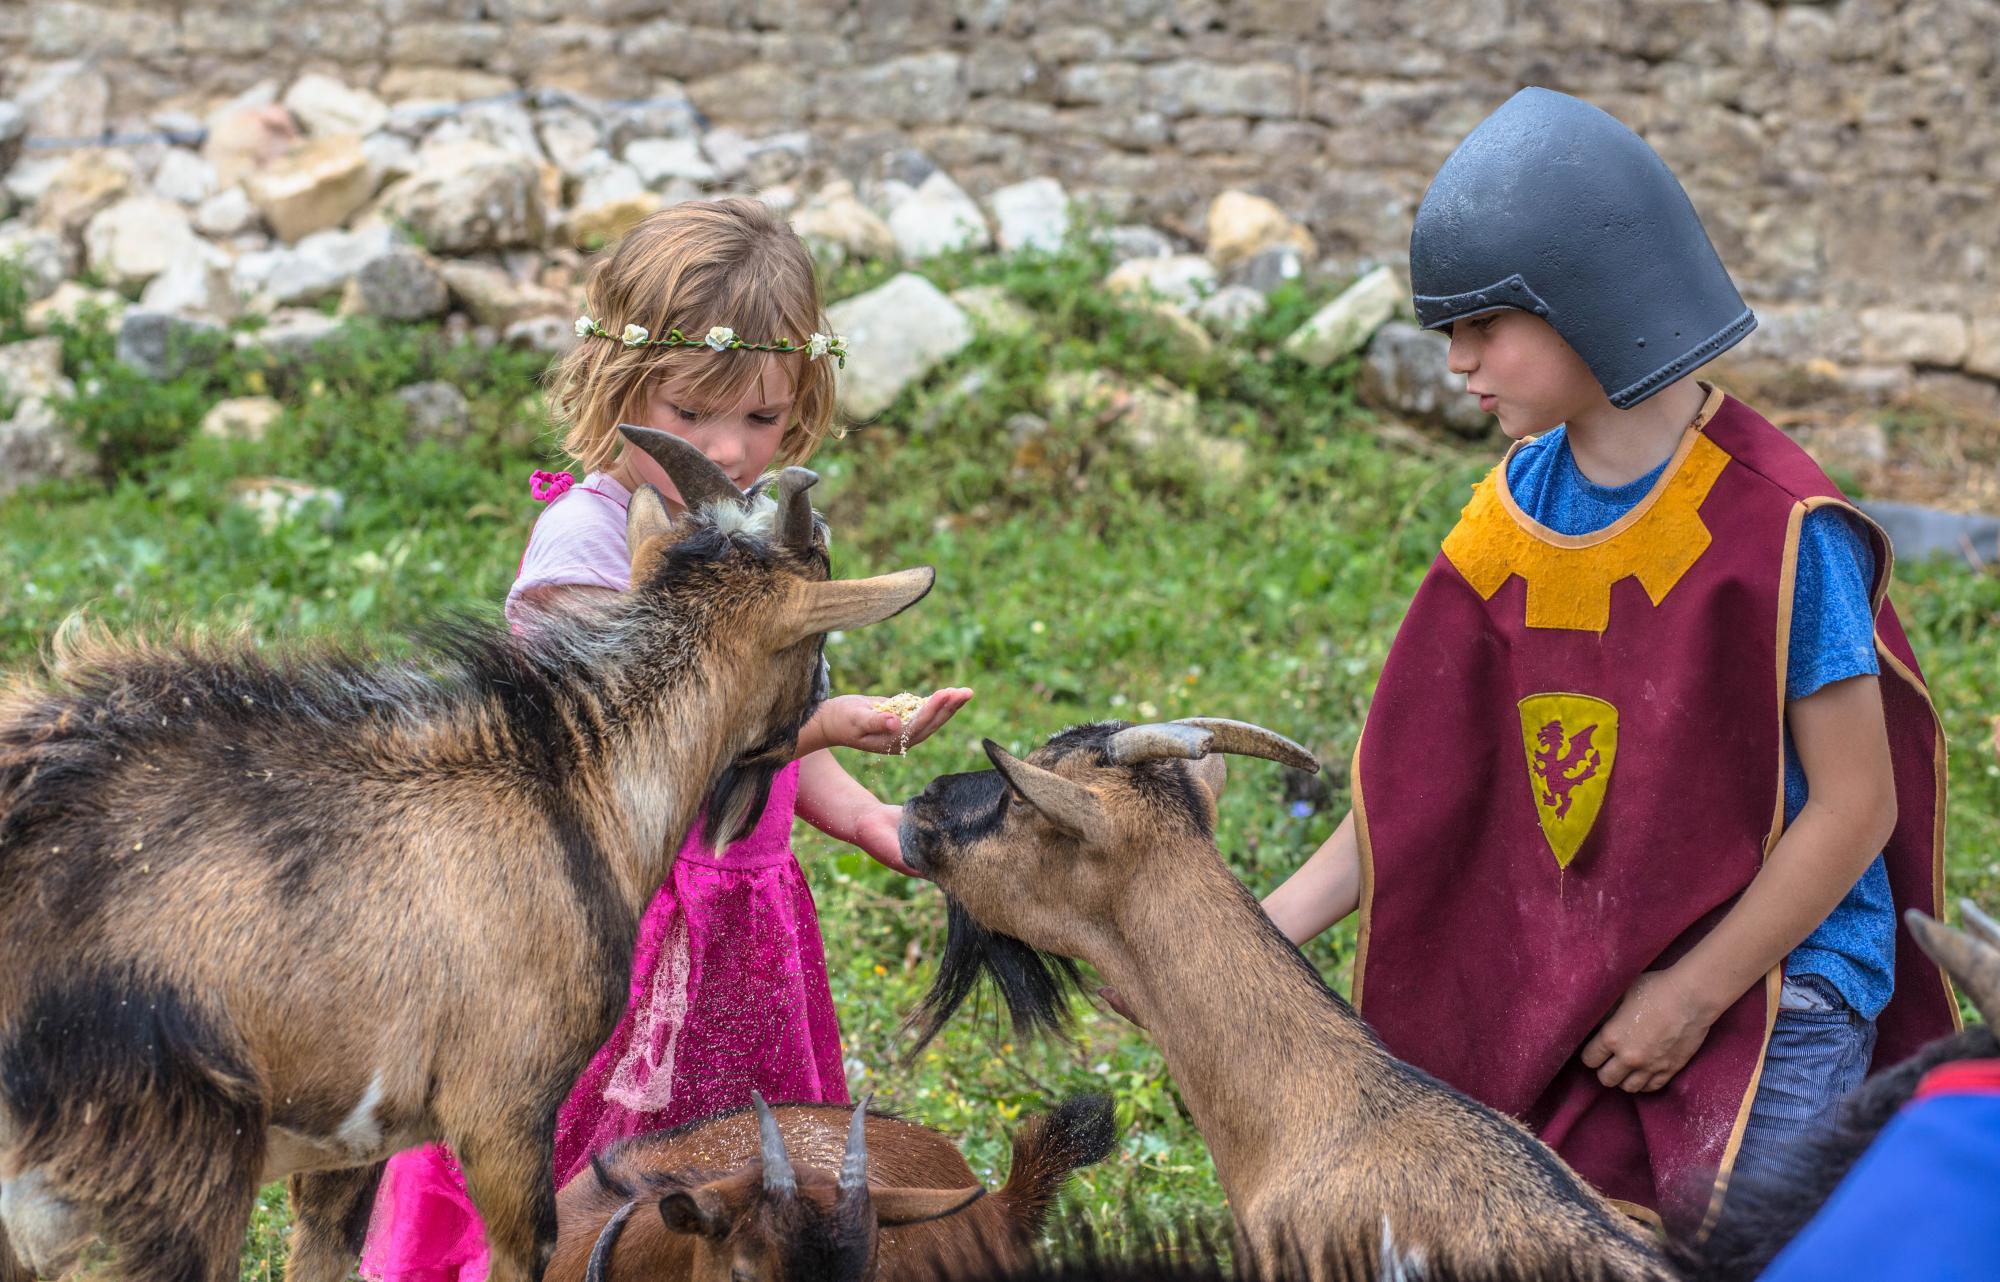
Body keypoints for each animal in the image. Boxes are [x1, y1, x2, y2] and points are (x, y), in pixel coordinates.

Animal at [0, 430, 936, 1280]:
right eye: (818, 635)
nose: (822, 704)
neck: (572, 782)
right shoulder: (504, 1106)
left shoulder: (354, 1137)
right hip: (167, 1165)